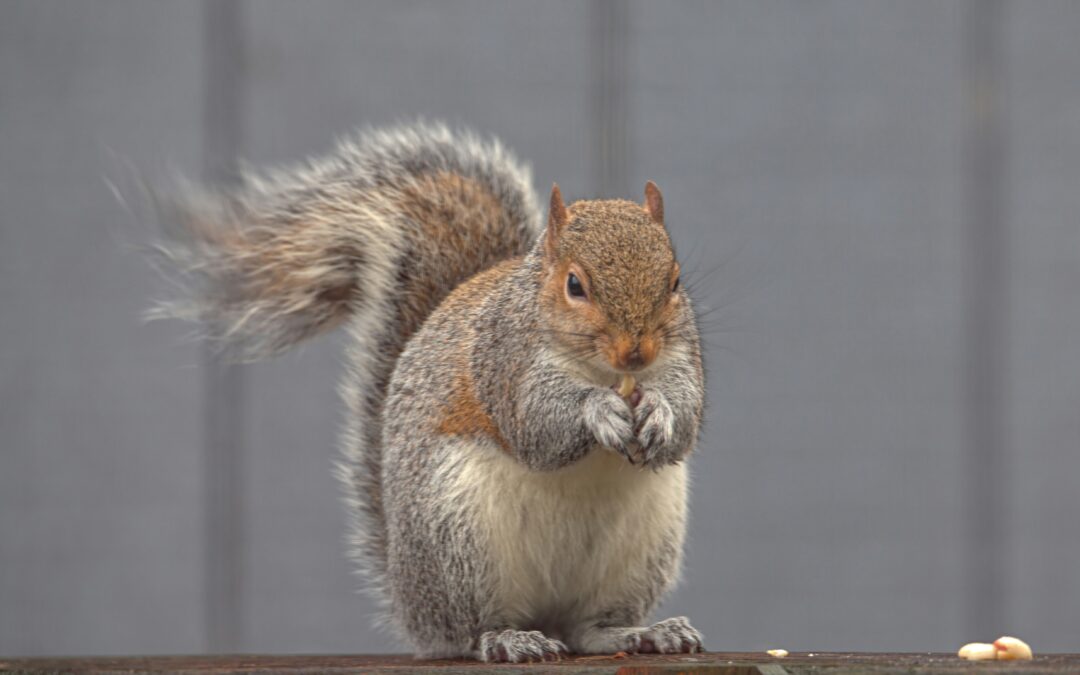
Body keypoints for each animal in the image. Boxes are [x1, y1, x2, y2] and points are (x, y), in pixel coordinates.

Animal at [152, 122, 706, 661]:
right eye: (575, 285)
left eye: (675, 281)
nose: (636, 354)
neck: (601, 371)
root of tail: (411, 605)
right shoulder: (502, 363)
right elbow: (536, 427)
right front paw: (599, 411)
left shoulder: (683, 361)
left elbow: (686, 415)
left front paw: (660, 414)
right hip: (457, 537)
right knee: (466, 632)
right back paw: (505, 639)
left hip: (642, 548)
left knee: (588, 629)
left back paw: (641, 634)